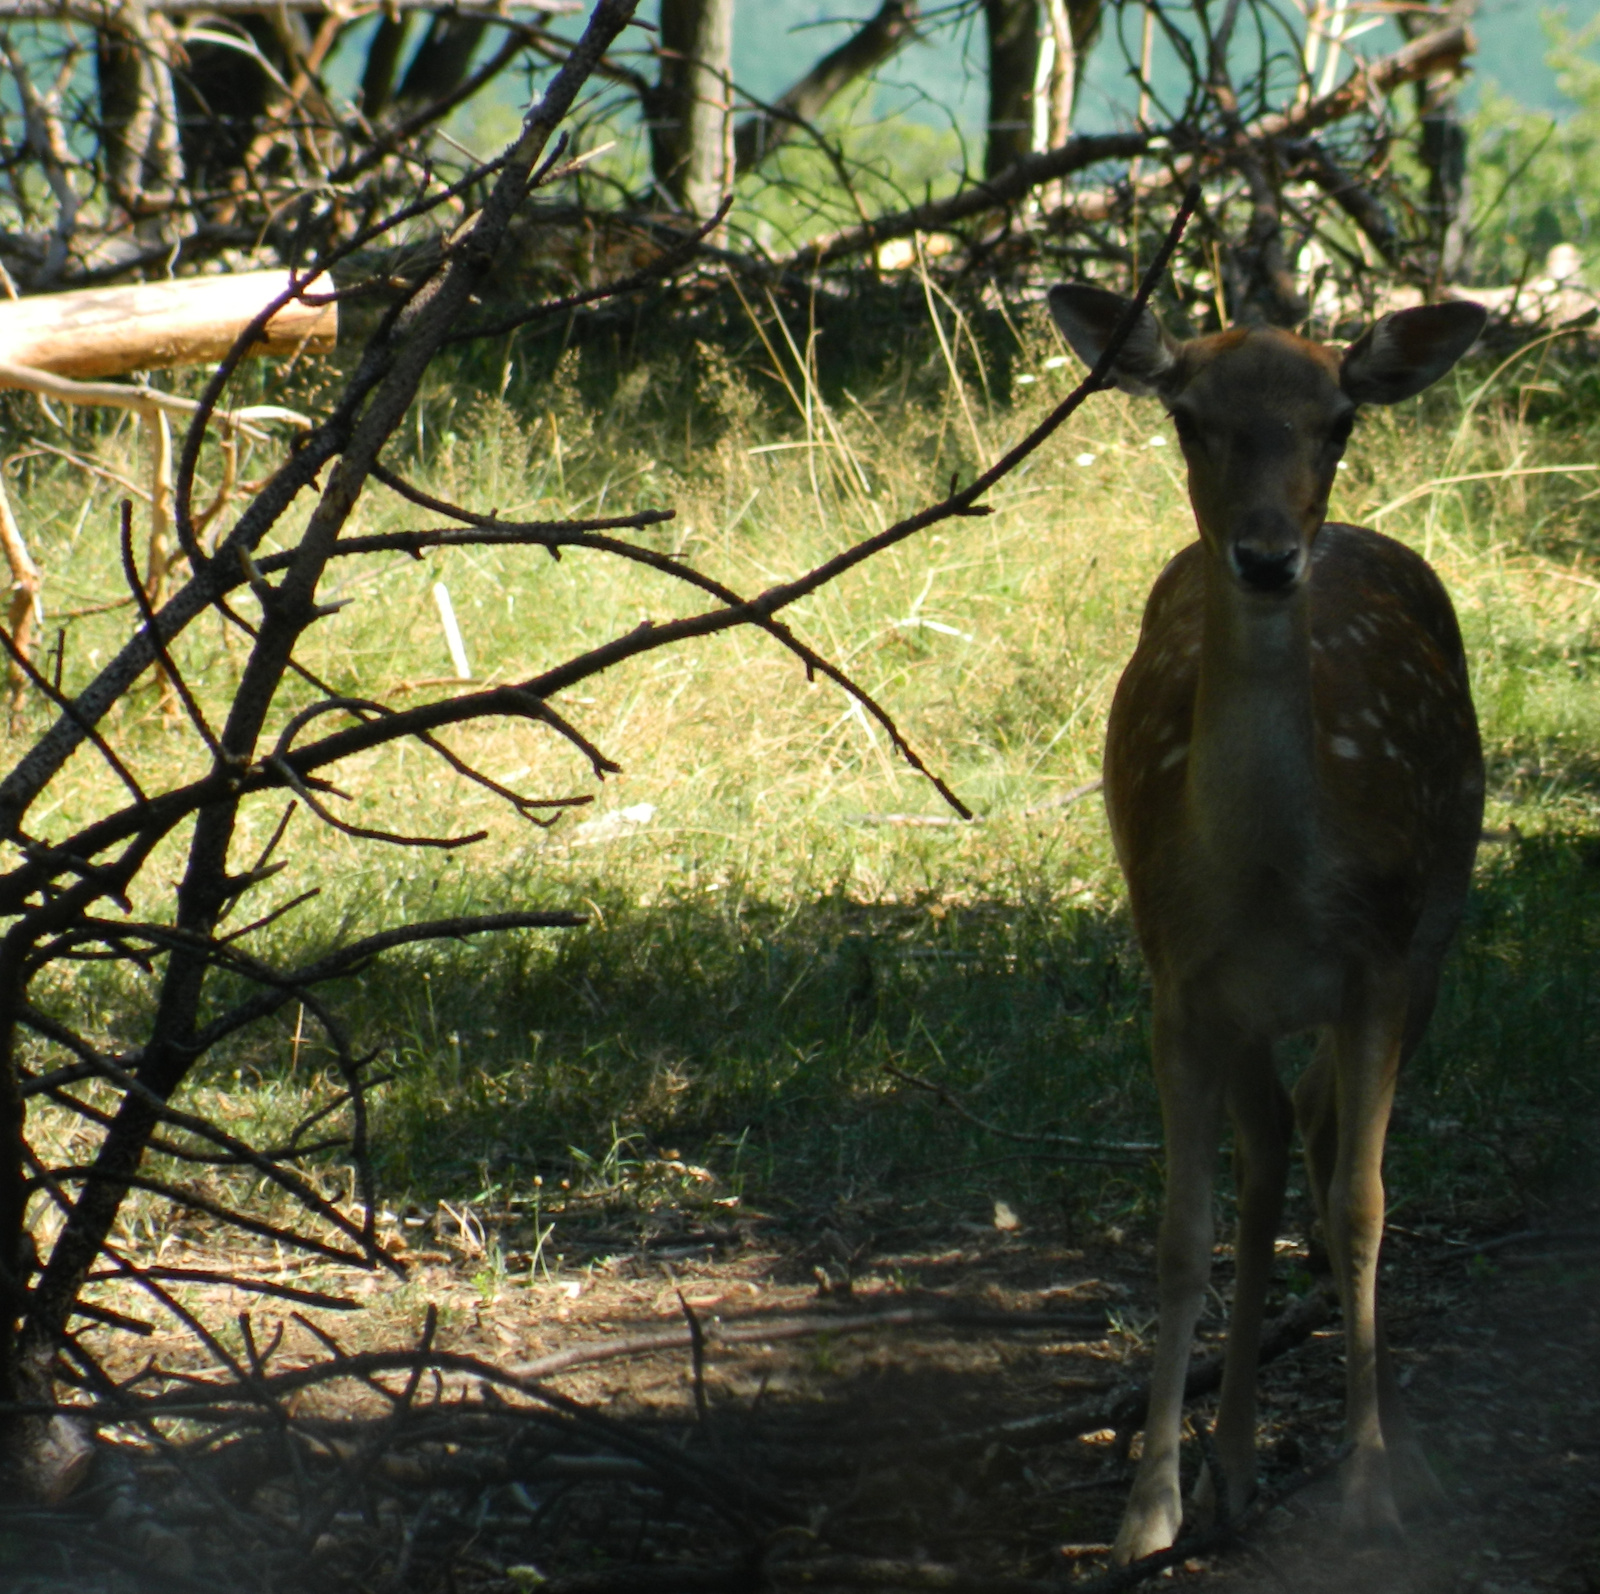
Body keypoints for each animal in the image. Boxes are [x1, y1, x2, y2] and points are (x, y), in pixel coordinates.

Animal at [1049, 283, 1484, 1555]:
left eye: (1338, 419)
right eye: (1188, 416)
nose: (1265, 556)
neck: (1275, 876)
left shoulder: (1380, 958)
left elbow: (1366, 1204)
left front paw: (1371, 1481)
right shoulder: (1180, 980)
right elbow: (1178, 1234)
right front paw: (1148, 1509)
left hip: (1438, 930)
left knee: (1325, 1145)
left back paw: (1355, 1446)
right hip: (1247, 1008)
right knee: (1273, 1147)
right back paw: (1232, 1462)